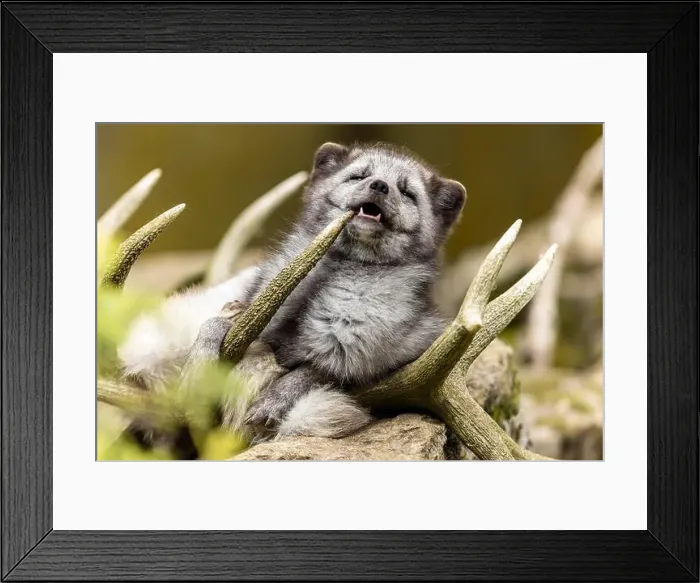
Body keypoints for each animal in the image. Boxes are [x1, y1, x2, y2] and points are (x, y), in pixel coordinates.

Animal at [118, 141, 466, 447]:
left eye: (407, 192)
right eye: (358, 176)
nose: (380, 185)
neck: (332, 270)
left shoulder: (399, 352)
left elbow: (316, 370)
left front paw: (273, 401)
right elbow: (216, 324)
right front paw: (199, 365)